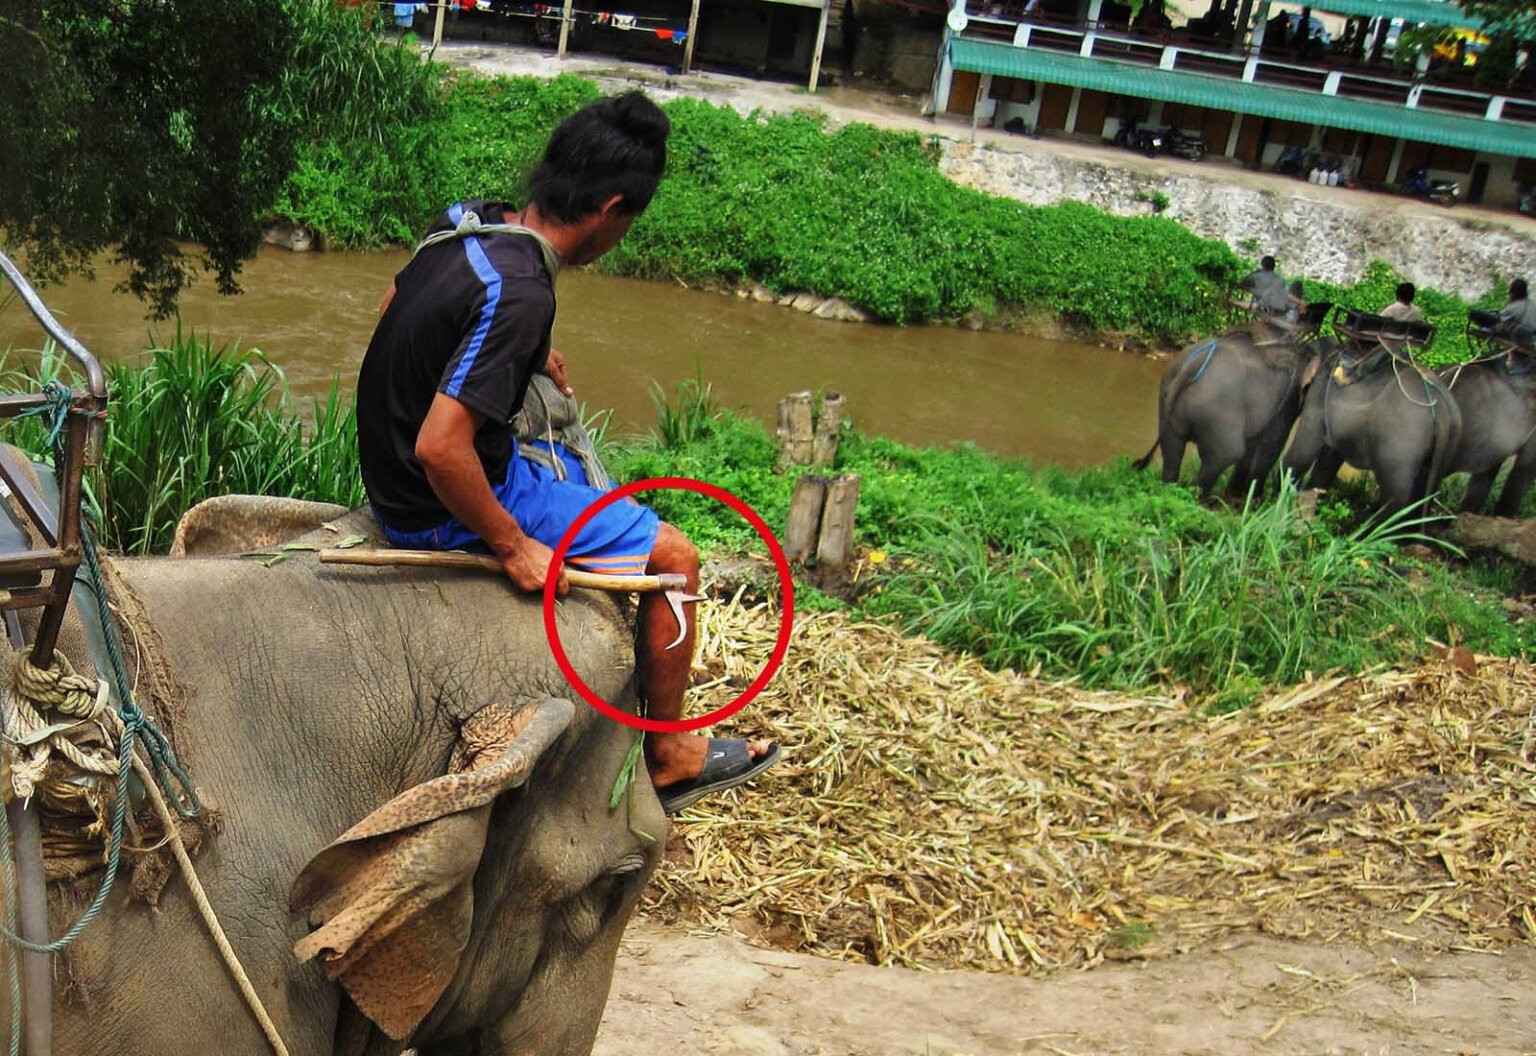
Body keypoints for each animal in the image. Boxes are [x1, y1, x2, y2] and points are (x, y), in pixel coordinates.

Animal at [1136, 325, 1314, 500]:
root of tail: (1197, 363)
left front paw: (1237, 494)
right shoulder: (1287, 401)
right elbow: (1273, 443)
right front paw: (1255, 500)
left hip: (1169, 400)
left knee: (1172, 451)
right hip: (1219, 413)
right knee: (1226, 455)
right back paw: (1200, 500)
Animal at [1284, 334, 1462, 506]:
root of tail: (1441, 411)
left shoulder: (1318, 396)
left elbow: (1302, 454)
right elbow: (1329, 457)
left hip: (1402, 445)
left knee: (1395, 496)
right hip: (1448, 444)